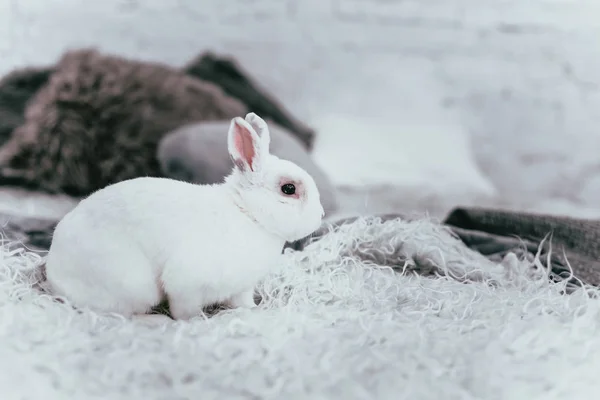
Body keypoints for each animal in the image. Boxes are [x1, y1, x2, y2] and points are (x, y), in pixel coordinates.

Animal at [44, 111, 326, 318]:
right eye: (288, 189)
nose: (322, 215)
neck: (248, 214)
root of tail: (54, 275)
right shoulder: (185, 284)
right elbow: (184, 310)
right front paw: (194, 322)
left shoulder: (241, 287)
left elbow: (243, 302)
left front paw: (254, 311)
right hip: (132, 284)